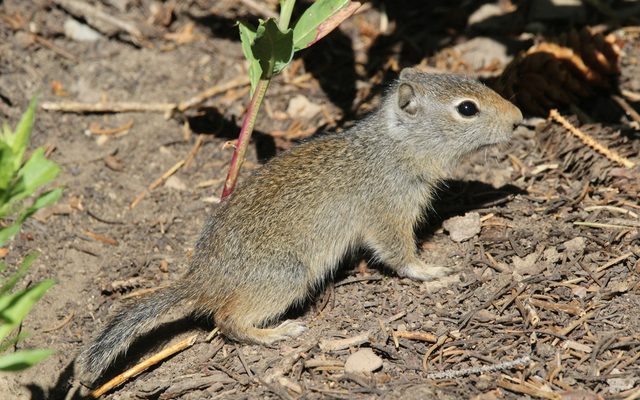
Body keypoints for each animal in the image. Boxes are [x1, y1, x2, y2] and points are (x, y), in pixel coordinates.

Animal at [78, 68, 523, 383]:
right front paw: (431, 271)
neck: (393, 146)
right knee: (227, 321)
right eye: (467, 108)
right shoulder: (387, 216)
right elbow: (399, 255)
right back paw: (275, 334)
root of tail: (201, 280)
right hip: (288, 277)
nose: (518, 118)